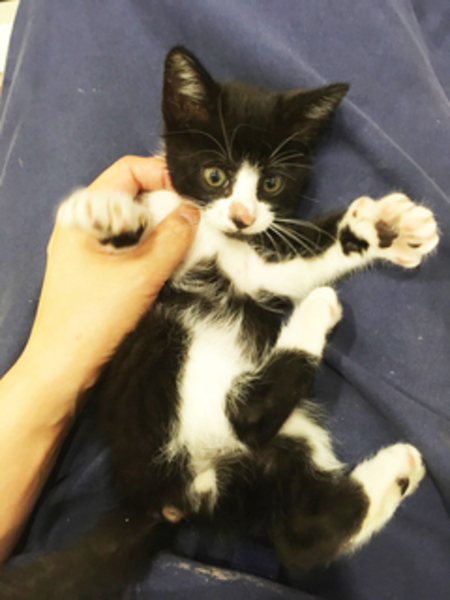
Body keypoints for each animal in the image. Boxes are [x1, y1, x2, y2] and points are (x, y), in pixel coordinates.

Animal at [0, 46, 438, 600]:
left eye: (271, 183)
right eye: (215, 176)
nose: (243, 215)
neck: (216, 236)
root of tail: (168, 495)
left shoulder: (256, 268)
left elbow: (305, 258)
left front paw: (385, 227)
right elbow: (138, 233)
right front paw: (108, 213)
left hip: (277, 439)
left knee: (300, 527)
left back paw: (396, 464)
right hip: (162, 353)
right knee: (246, 417)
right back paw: (317, 318)